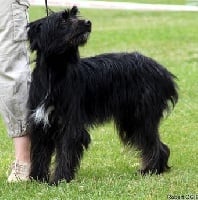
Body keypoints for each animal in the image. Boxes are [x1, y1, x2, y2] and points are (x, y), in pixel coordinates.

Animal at [26, 6, 178, 184]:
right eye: (63, 20)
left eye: (75, 14)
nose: (88, 22)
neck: (54, 73)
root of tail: (162, 71)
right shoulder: (40, 123)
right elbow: (40, 153)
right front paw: (37, 179)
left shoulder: (70, 124)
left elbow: (65, 151)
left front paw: (59, 179)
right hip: (131, 119)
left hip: (139, 119)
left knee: (156, 145)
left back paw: (151, 170)